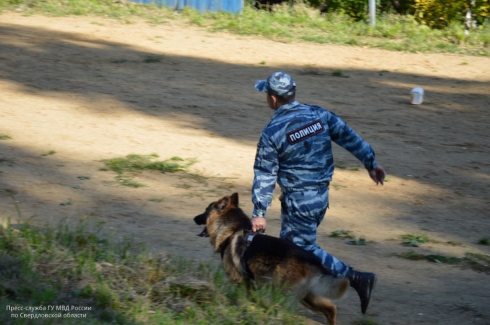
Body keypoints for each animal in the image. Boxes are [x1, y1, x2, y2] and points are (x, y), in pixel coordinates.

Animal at [193, 192, 350, 324]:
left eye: (205, 210)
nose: (194, 218)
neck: (233, 230)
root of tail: (311, 259)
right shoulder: (250, 283)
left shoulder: (239, 281)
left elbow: (240, 298)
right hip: (308, 296)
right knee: (330, 309)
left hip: (282, 294)